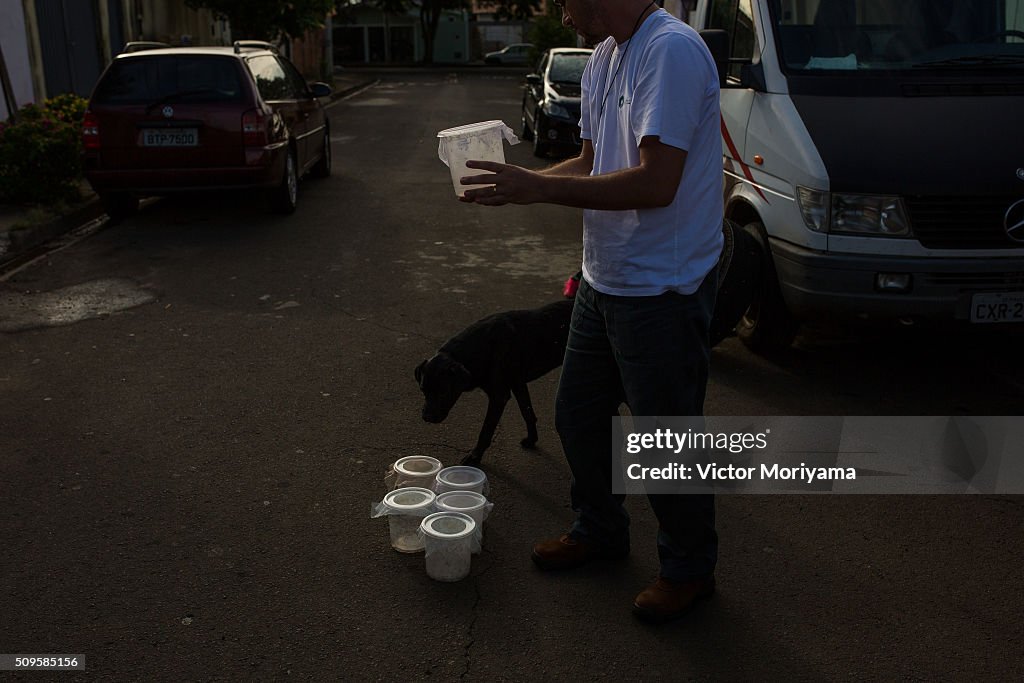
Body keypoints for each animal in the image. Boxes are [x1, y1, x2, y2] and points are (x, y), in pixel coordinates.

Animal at [415, 299, 577, 464]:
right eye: (423, 390)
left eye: (443, 392)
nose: (426, 418)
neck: (481, 345)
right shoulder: (518, 383)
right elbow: (527, 413)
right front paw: (532, 439)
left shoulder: (499, 396)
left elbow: (486, 430)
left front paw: (475, 456)